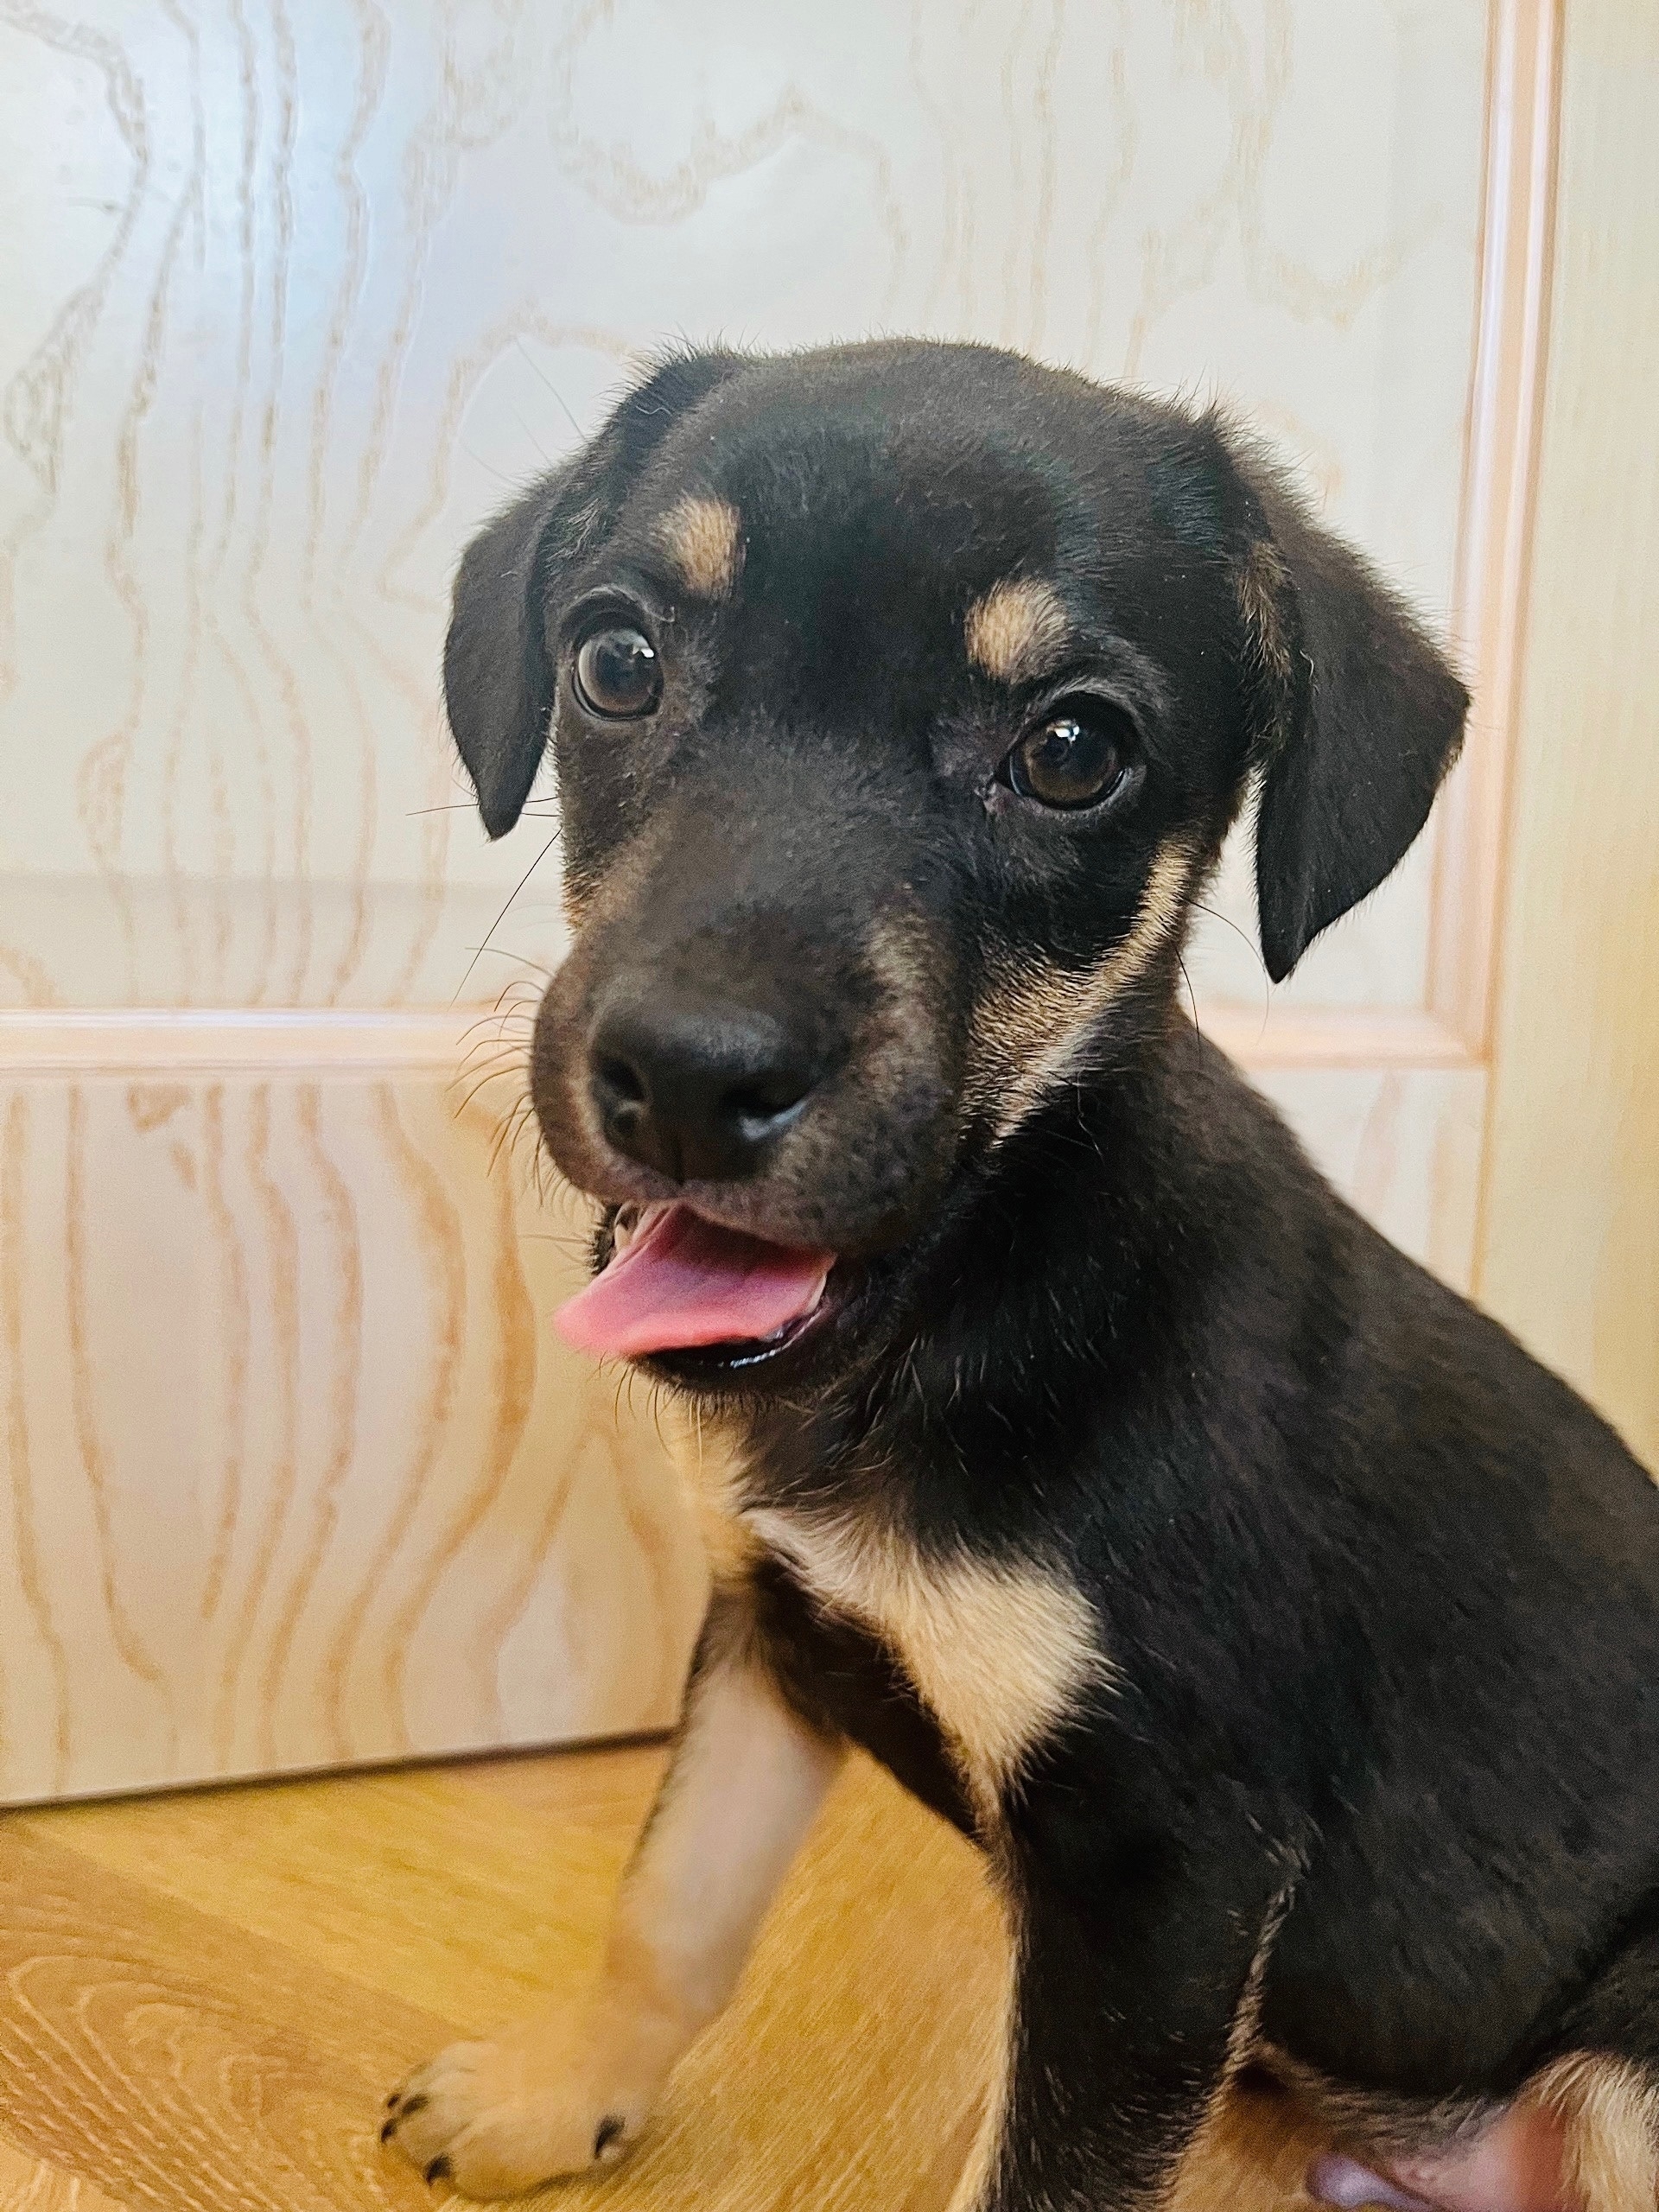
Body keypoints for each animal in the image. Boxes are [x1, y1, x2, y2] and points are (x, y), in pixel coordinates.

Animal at [384, 340, 1659, 2210]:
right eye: (615, 659)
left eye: (1072, 752)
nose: (686, 1076)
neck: (969, 1296)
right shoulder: (774, 1636)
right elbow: (670, 1904)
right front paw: (555, 2097)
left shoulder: (1163, 1868)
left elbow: (1043, 2169)